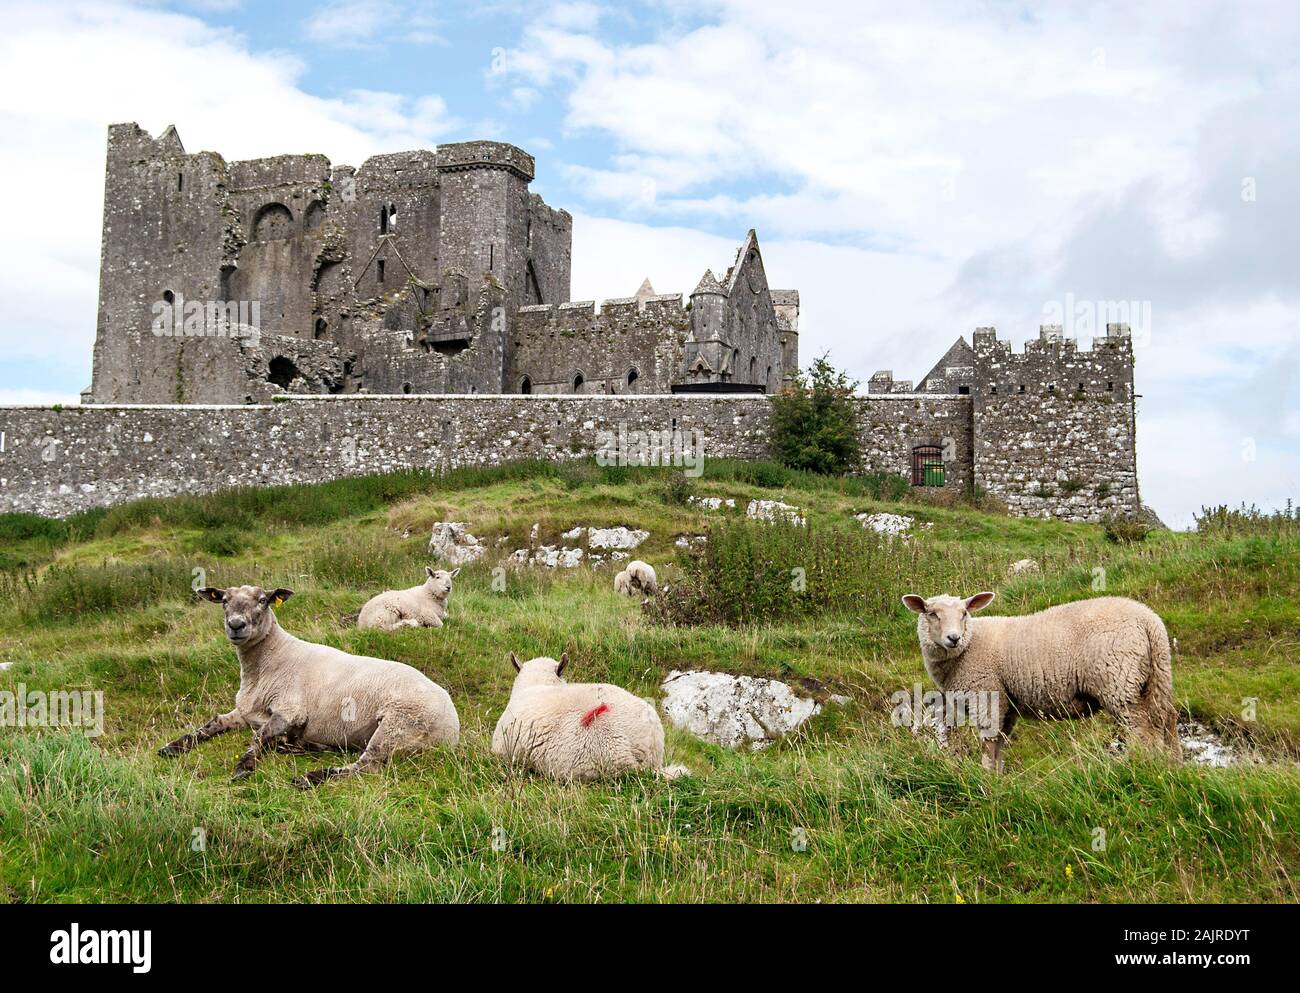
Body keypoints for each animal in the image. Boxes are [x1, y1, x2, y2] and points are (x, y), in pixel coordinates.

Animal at [159, 585, 459, 787]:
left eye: (263, 600)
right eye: (223, 600)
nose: (236, 625)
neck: (272, 659)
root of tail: (453, 728)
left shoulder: (290, 710)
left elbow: (257, 737)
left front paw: (244, 768)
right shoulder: (245, 711)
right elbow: (213, 723)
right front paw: (172, 747)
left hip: (397, 726)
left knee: (367, 765)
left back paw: (309, 777)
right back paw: (295, 746)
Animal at [901, 591, 1180, 772]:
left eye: (964, 613)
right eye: (931, 613)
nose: (953, 638)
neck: (970, 645)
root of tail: (1150, 622)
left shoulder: (987, 694)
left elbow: (989, 743)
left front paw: (986, 781)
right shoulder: (1006, 702)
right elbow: (1000, 743)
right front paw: (999, 778)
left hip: (1120, 680)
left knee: (1141, 728)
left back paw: (1142, 764)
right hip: (1155, 676)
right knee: (1167, 718)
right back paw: (1172, 765)